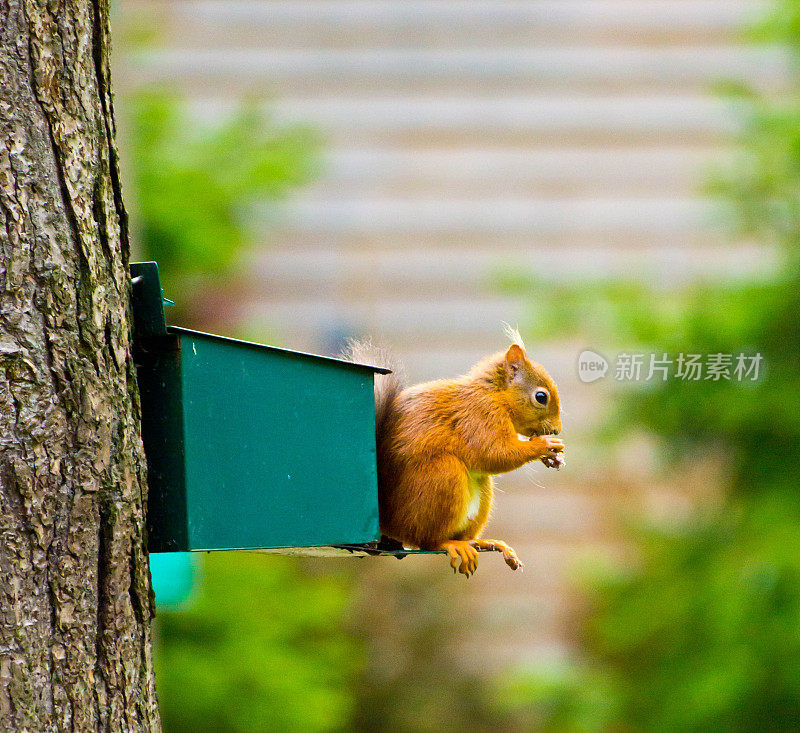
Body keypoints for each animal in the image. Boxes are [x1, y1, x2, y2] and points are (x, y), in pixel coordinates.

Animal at [348, 332, 564, 576]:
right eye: (541, 397)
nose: (556, 429)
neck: (495, 395)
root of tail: (388, 523)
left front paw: (551, 455)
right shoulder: (480, 416)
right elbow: (495, 453)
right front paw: (544, 445)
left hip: (481, 492)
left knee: (464, 535)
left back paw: (485, 543)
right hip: (444, 474)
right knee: (427, 542)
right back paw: (450, 544)